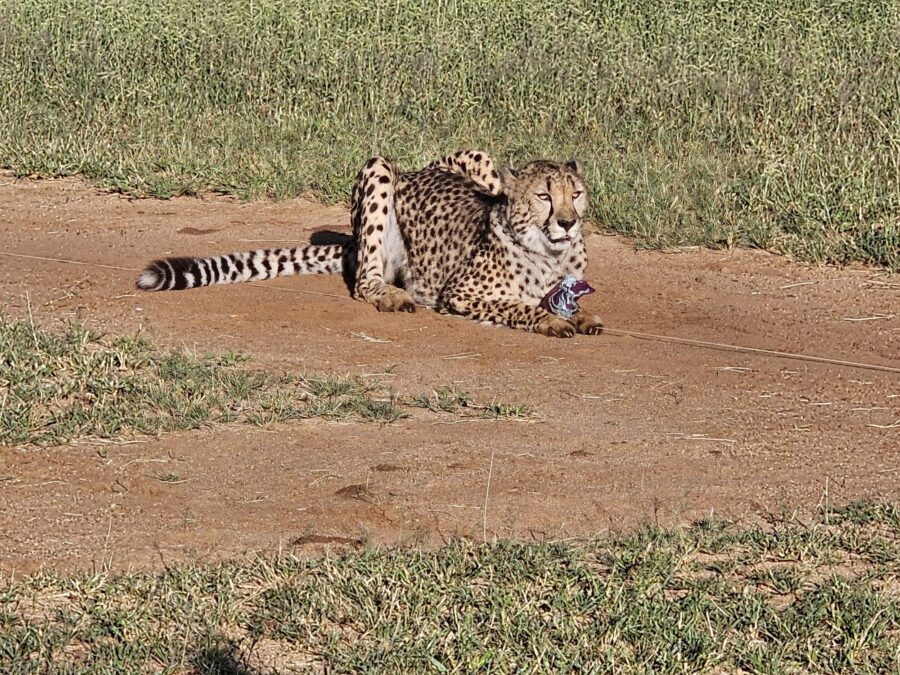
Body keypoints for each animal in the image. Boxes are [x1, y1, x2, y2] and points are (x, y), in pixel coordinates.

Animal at [136, 149, 603, 338]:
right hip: (379, 170)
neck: (549, 251)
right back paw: (390, 295)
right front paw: (552, 321)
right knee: (364, 280)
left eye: (575, 194)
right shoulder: (459, 293)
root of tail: (417, 170)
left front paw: (579, 316)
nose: (568, 222)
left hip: (476, 156)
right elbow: (519, 307)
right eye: (544, 196)